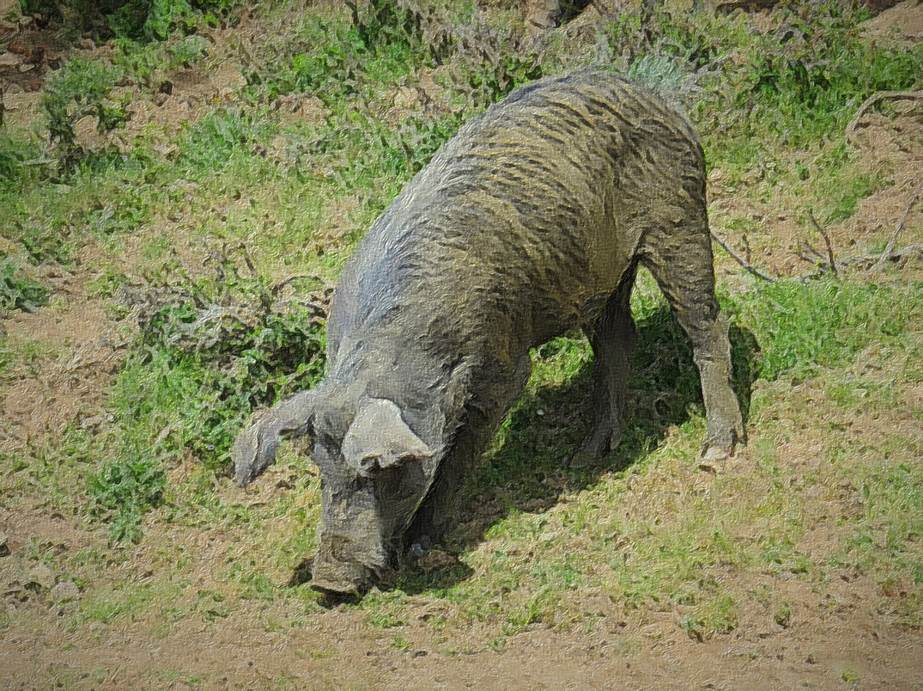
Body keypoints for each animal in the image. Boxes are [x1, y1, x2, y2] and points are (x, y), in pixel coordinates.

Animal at [235, 69, 748, 596]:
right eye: (321, 469)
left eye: (380, 471)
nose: (329, 583)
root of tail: (654, 95)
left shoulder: (503, 365)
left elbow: (460, 455)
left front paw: (422, 544)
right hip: (601, 275)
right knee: (617, 342)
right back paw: (586, 457)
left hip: (680, 221)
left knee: (708, 326)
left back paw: (717, 451)